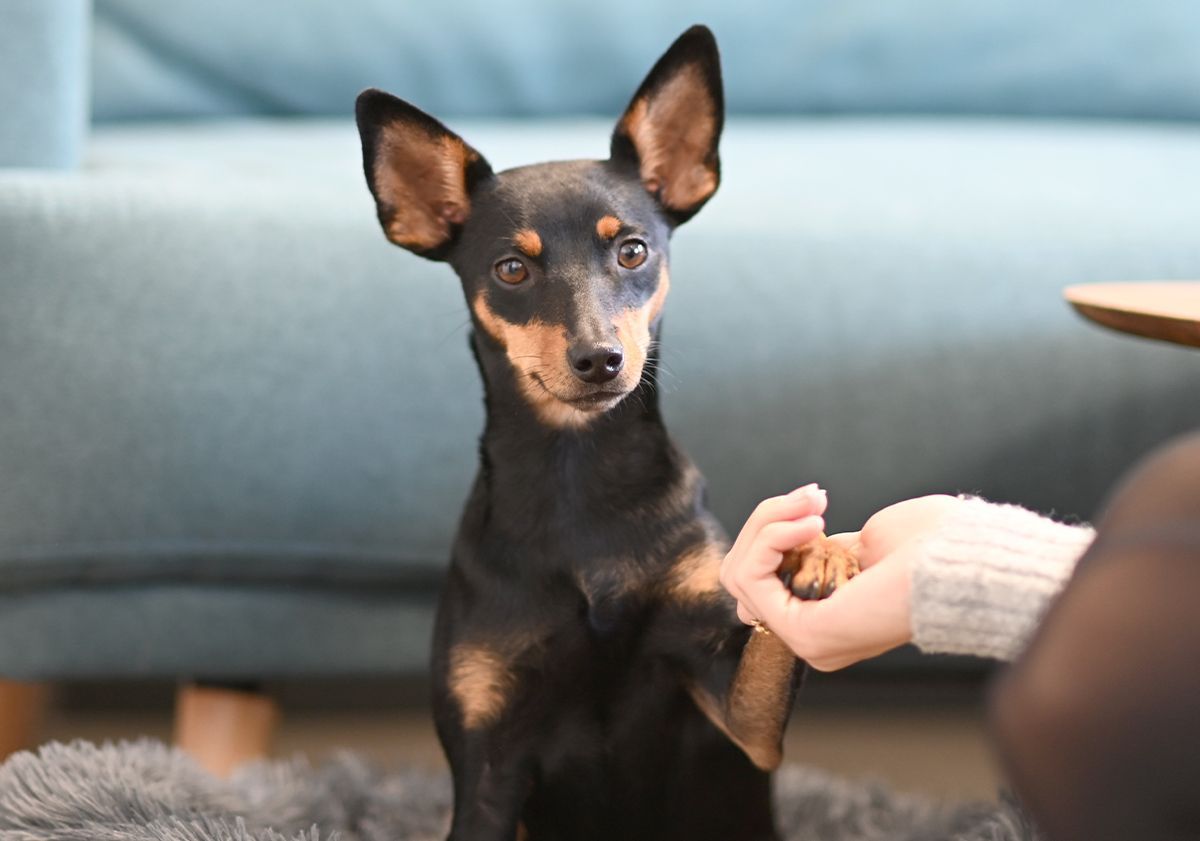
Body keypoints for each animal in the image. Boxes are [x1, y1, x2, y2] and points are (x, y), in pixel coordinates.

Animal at [352, 26, 854, 839]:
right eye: (512, 269)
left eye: (633, 251)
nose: (599, 360)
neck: (579, 469)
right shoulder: (485, 770)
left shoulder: (742, 722)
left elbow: (771, 644)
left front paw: (818, 551)